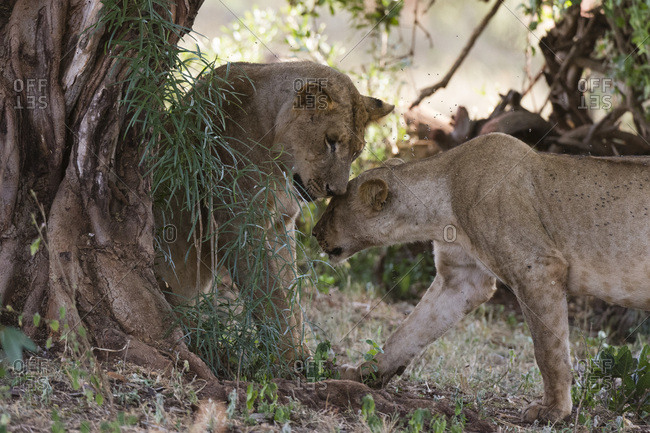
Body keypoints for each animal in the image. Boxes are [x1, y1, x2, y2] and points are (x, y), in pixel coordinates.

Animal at [155, 61, 393, 359]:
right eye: (330, 141)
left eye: (357, 153)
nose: (336, 191)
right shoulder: (237, 223)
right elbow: (269, 294)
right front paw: (289, 358)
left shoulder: (282, 224)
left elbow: (291, 292)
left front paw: (303, 351)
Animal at [312, 133, 650, 422]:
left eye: (333, 206)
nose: (313, 232)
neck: (442, 203)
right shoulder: (462, 280)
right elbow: (409, 330)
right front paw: (363, 373)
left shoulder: (537, 267)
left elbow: (549, 351)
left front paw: (553, 411)